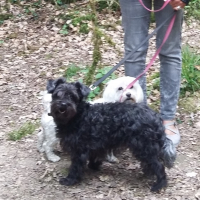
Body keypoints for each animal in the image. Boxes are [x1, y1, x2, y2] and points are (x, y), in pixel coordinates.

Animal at [47, 77, 176, 191]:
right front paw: (94, 166)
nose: (63, 105)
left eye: (73, 96)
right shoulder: (96, 144)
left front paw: (70, 179)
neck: (80, 115)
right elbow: (95, 156)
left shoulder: (79, 149)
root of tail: (156, 117)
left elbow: (75, 166)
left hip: (144, 147)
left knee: (159, 166)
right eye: (57, 94)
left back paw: (159, 185)